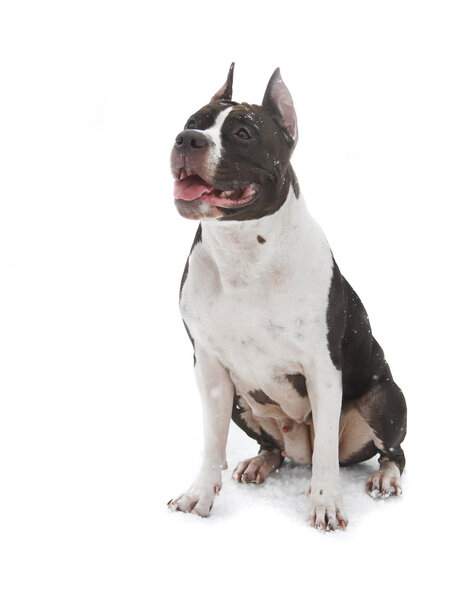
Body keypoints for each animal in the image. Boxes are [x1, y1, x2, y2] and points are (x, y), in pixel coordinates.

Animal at [168, 62, 406, 528]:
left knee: (391, 452)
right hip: (243, 405)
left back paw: (385, 477)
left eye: (243, 133)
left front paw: (326, 504)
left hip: (384, 398)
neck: (242, 251)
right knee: (274, 448)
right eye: (192, 122)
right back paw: (260, 463)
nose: (187, 140)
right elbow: (212, 442)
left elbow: (328, 453)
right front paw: (200, 494)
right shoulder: (209, 367)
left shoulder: (322, 369)